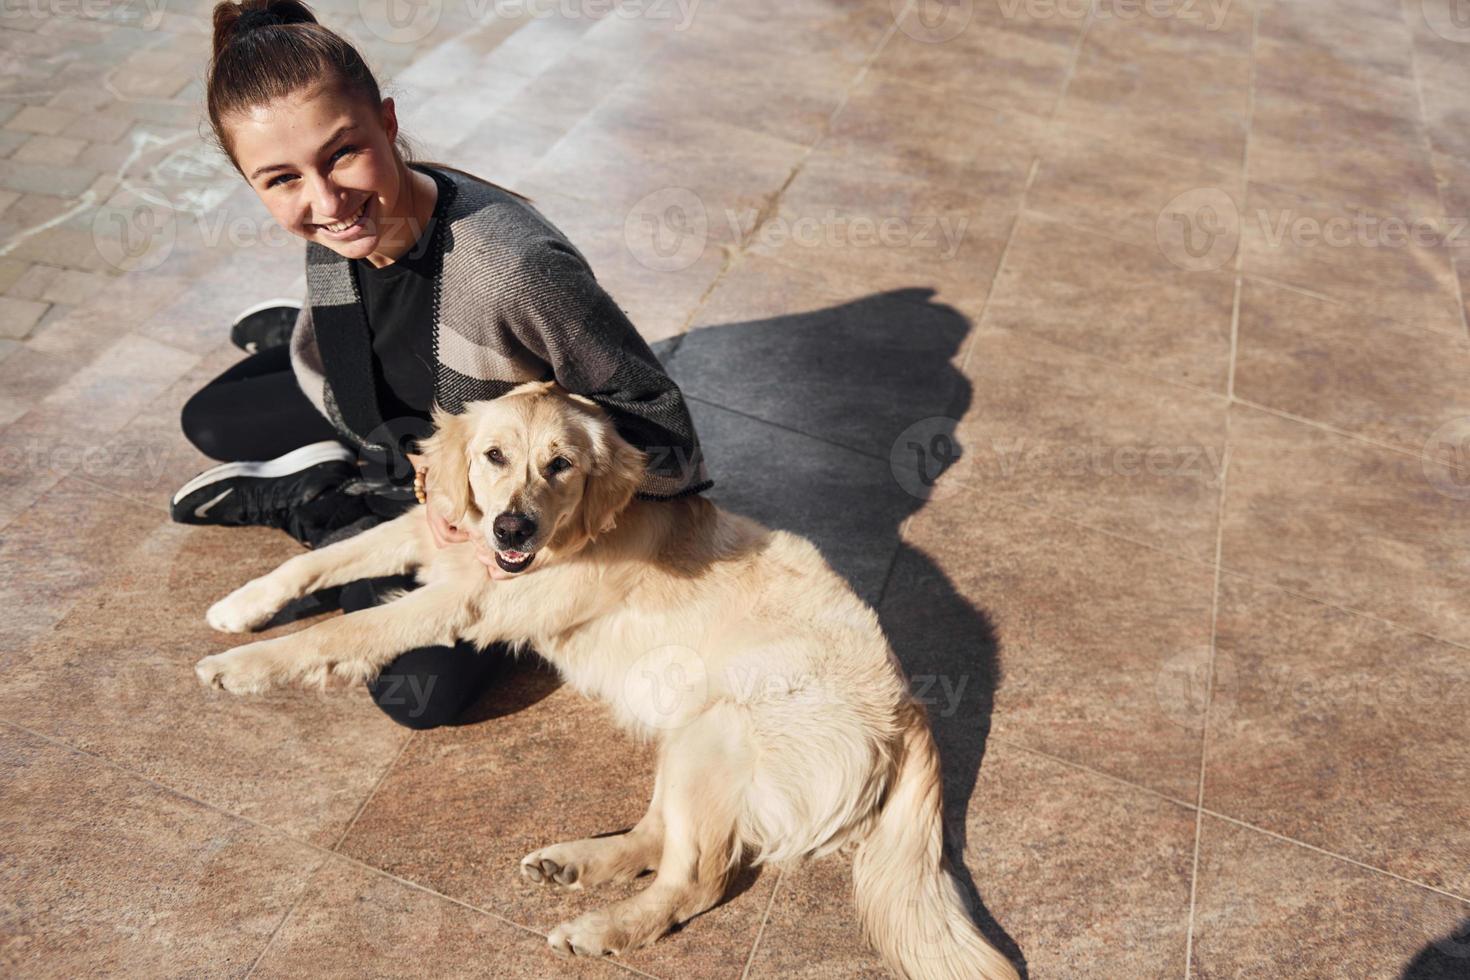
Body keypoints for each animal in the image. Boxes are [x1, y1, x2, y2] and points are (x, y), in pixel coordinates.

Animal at [192, 382, 1023, 980]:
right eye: (494, 456)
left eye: (560, 465)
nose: (513, 529)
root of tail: (909, 708)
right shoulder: (443, 538)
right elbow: (320, 560)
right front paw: (242, 607)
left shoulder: (468, 598)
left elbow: (341, 631)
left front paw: (242, 669)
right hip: (690, 734)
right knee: (664, 836)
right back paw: (578, 863)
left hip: (720, 730)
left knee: (699, 878)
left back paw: (604, 929)